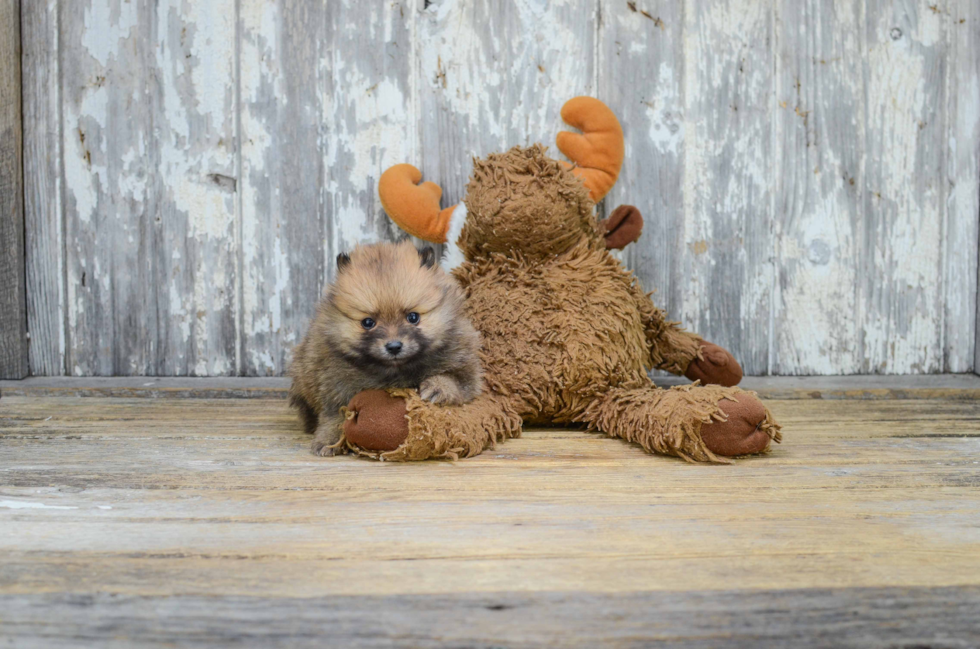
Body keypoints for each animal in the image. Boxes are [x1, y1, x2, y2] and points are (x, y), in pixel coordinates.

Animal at [288, 238, 482, 456]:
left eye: (413, 317)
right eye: (368, 322)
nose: (394, 346)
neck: (394, 371)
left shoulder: (464, 363)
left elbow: (456, 380)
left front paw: (438, 388)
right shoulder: (335, 386)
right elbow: (335, 415)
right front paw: (329, 440)